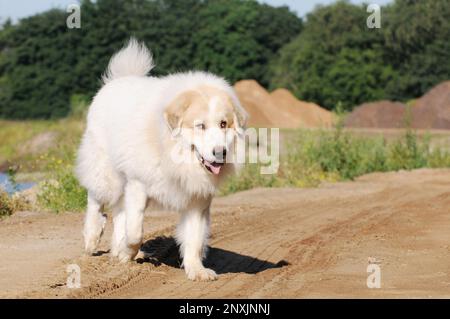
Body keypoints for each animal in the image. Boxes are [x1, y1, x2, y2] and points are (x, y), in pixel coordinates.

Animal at [75, 38, 248, 282]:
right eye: (200, 126)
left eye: (223, 124)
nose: (220, 152)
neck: (171, 150)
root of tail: (118, 80)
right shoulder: (138, 184)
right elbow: (135, 232)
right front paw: (127, 253)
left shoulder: (197, 199)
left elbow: (194, 240)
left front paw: (197, 270)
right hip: (106, 172)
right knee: (96, 199)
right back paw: (92, 238)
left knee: (118, 212)